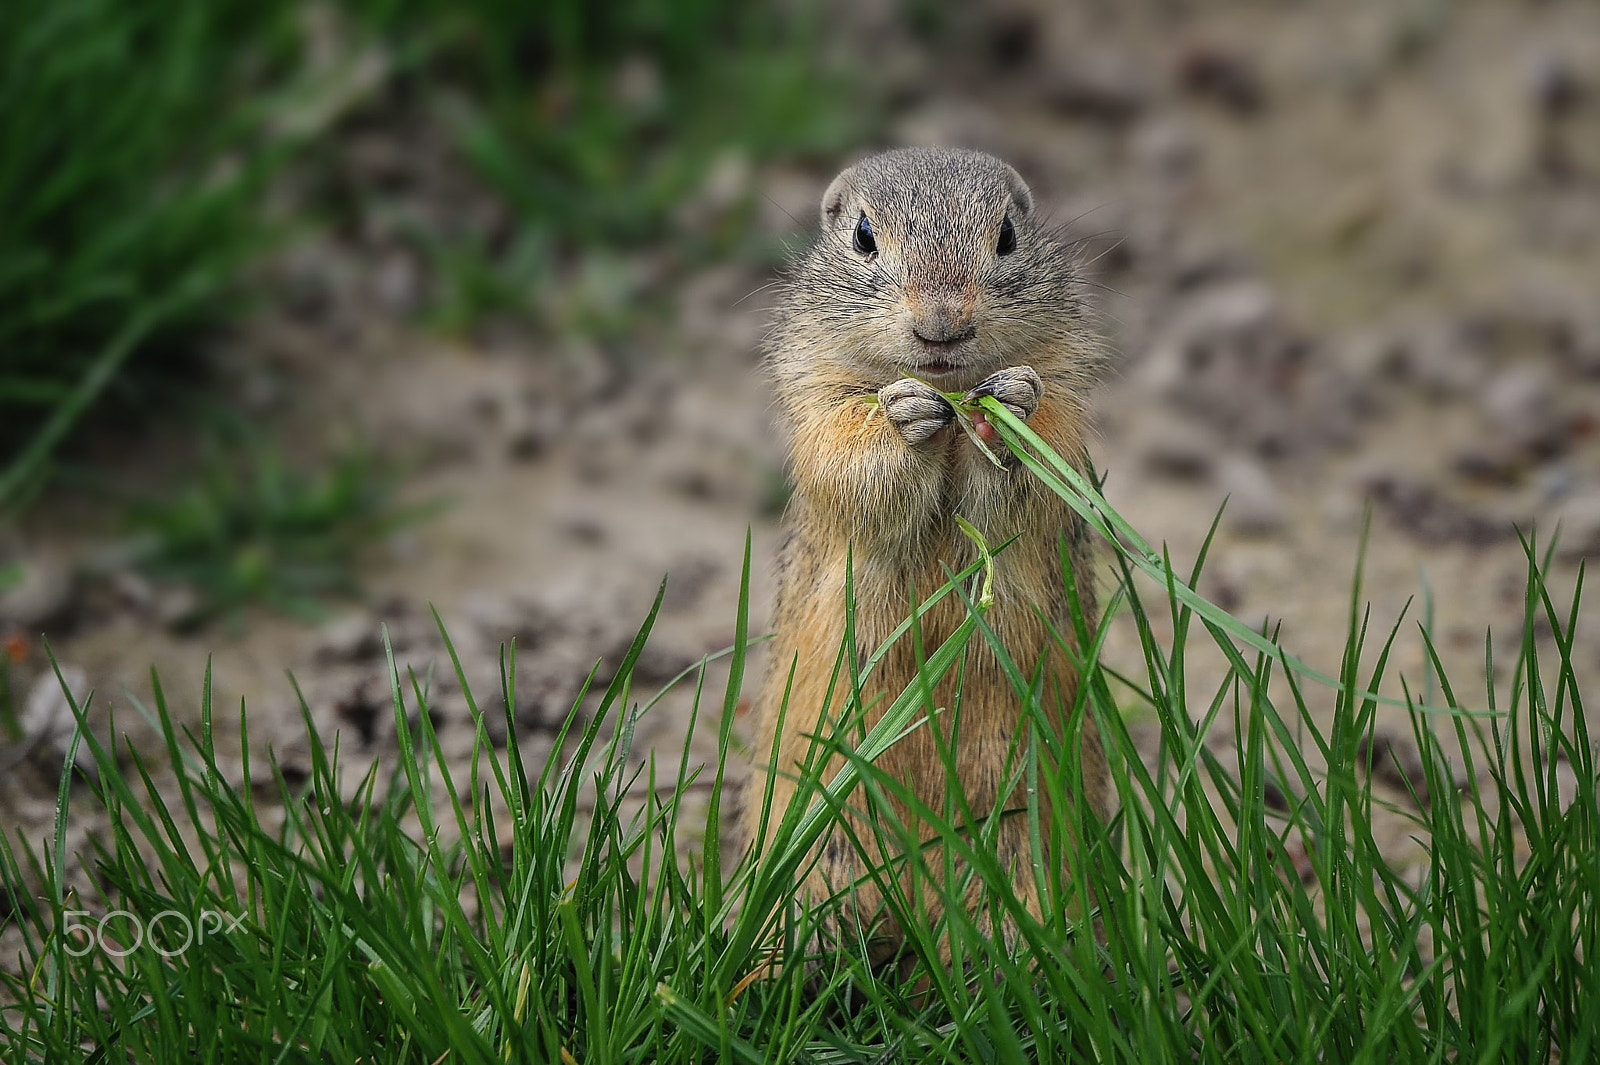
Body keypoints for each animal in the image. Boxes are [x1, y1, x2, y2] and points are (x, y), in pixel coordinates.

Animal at [741, 147, 1111, 958]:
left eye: (1007, 236)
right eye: (863, 237)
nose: (942, 321)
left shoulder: (1066, 388)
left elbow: (1039, 450)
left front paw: (1009, 406)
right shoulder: (818, 396)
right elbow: (851, 455)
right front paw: (905, 414)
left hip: (1024, 831)